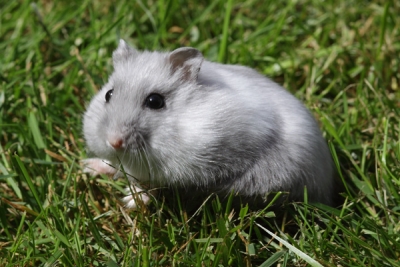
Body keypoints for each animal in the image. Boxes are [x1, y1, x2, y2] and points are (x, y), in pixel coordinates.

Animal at [83, 39, 336, 208]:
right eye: (108, 95)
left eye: (155, 101)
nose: (114, 142)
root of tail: (329, 190)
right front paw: (87, 166)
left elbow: (152, 184)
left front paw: (131, 201)